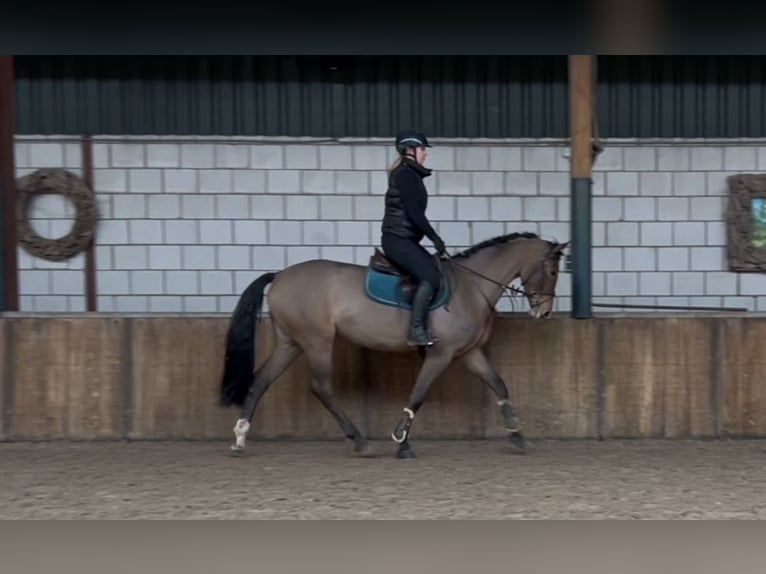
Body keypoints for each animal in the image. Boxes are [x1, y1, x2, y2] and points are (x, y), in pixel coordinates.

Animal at [219, 232, 568, 462]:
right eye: (552, 271)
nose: (544, 313)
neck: (472, 287)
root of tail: (279, 276)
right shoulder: (441, 354)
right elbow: (418, 395)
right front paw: (402, 442)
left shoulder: (470, 354)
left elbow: (500, 385)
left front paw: (517, 435)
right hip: (317, 341)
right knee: (321, 388)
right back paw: (360, 441)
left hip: (291, 342)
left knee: (261, 380)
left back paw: (239, 440)